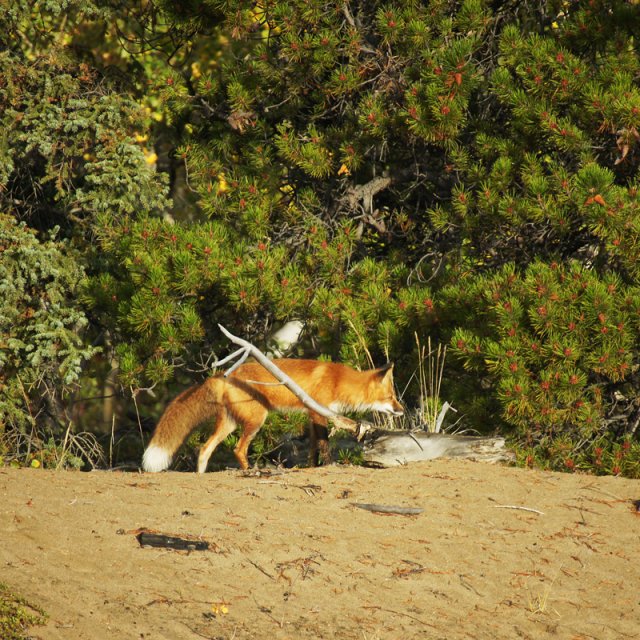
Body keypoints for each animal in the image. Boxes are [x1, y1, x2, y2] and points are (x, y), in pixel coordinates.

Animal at [142, 358, 402, 472]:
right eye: (391, 397)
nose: (401, 410)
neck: (339, 381)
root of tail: (223, 374)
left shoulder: (311, 416)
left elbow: (313, 448)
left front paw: (311, 467)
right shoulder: (318, 412)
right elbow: (324, 444)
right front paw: (329, 465)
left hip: (230, 423)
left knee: (205, 449)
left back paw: (201, 475)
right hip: (257, 420)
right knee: (238, 449)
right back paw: (250, 472)